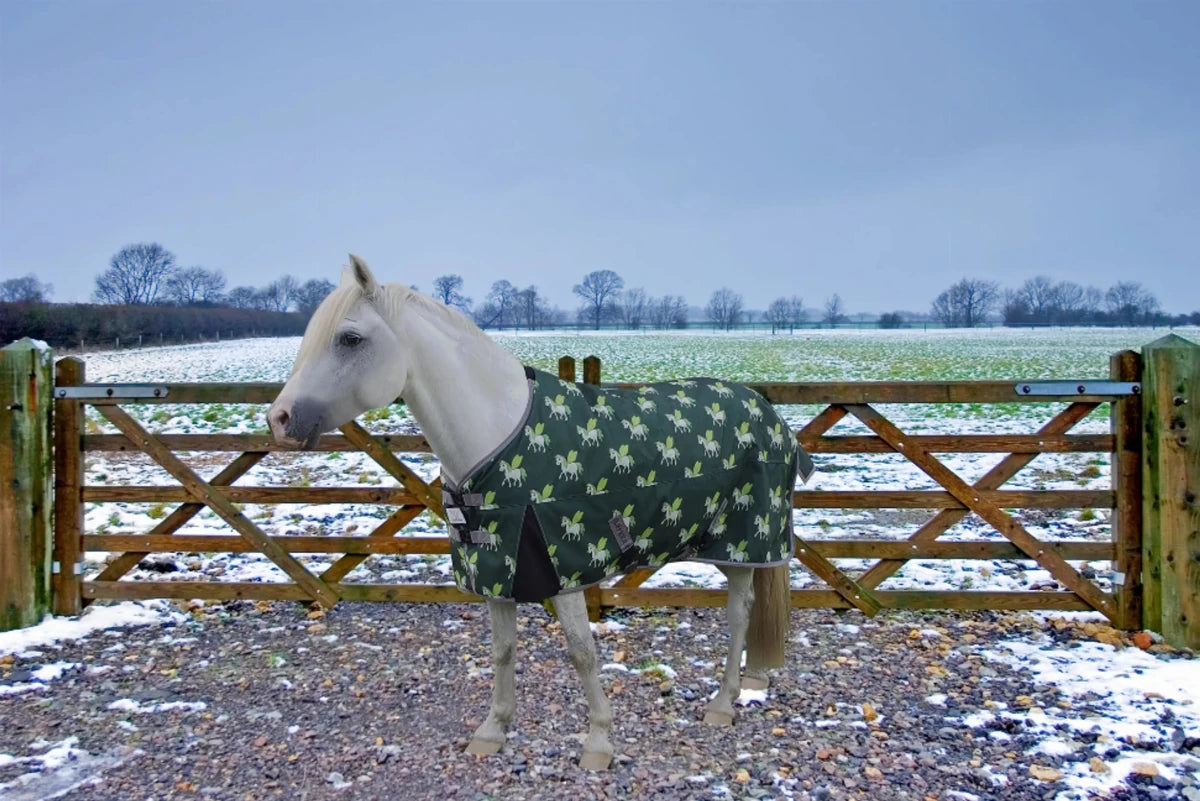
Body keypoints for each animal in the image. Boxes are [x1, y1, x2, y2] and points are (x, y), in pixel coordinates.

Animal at [268, 255, 812, 770]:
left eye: (350, 338)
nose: (280, 419)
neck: (496, 436)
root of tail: (772, 416)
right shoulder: (497, 571)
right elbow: (503, 650)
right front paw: (493, 730)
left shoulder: (562, 569)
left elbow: (582, 652)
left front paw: (598, 742)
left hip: (745, 542)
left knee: (739, 614)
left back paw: (722, 704)